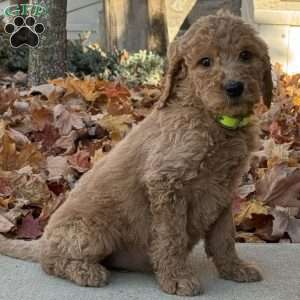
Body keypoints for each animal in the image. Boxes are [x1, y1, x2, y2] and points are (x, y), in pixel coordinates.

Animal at [0, 10, 272, 296]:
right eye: (205, 62)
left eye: (246, 55)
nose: (234, 87)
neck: (212, 118)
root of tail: (42, 238)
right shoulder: (166, 183)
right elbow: (171, 236)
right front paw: (177, 278)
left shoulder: (224, 189)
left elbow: (224, 237)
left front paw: (234, 268)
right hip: (93, 231)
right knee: (50, 261)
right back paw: (86, 271)